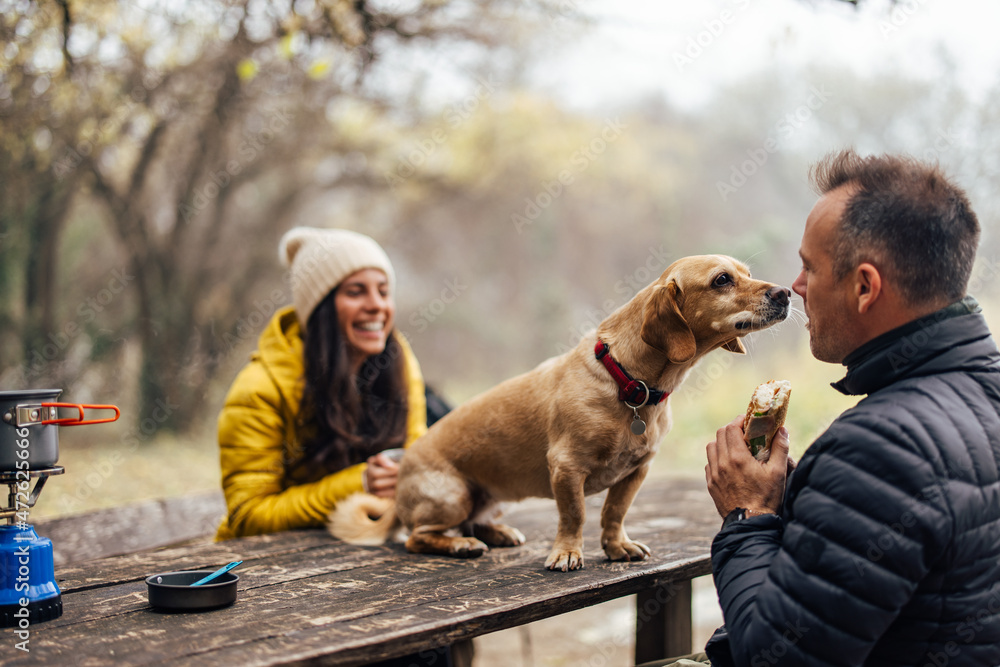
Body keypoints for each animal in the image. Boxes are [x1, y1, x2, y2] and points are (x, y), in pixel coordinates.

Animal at [328, 254, 788, 568]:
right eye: (722, 280)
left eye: (746, 272)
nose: (784, 293)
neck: (630, 383)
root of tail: (402, 477)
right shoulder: (566, 467)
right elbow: (575, 515)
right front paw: (567, 553)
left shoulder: (636, 472)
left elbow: (613, 513)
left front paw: (616, 547)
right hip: (451, 496)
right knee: (419, 535)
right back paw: (458, 544)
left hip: (492, 499)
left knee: (473, 521)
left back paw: (496, 532)